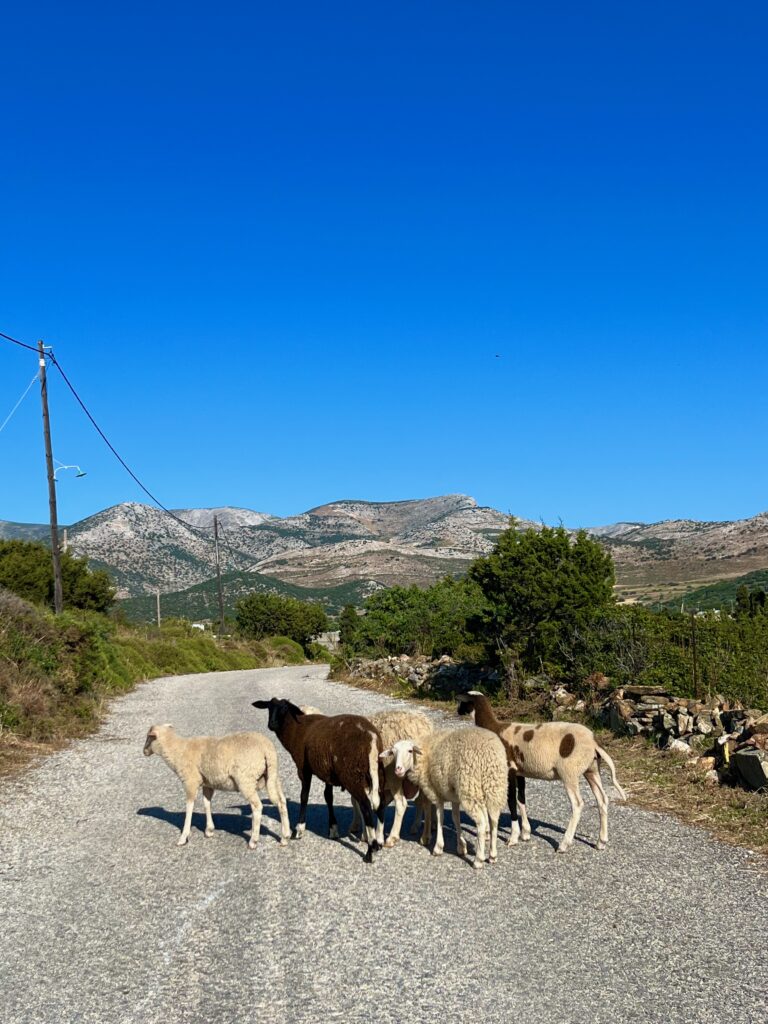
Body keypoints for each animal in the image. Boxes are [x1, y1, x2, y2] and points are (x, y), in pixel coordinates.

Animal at [143, 724, 290, 851]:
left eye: (148, 738)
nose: (144, 751)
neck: (177, 751)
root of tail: (267, 748)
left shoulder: (190, 781)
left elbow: (189, 807)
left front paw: (183, 837)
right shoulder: (208, 783)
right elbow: (206, 803)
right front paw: (209, 830)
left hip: (246, 779)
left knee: (257, 806)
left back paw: (253, 841)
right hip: (272, 776)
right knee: (281, 801)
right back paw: (285, 836)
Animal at [250, 696, 385, 864]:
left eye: (284, 709)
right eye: (269, 707)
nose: (272, 724)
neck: (295, 730)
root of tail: (371, 738)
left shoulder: (304, 769)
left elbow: (304, 796)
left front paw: (298, 830)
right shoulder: (327, 771)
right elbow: (328, 797)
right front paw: (333, 829)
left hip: (352, 775)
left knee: (366, 805)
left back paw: (369, 852)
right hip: (377, 772)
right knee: (380, 803)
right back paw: (378, 843)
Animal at [387, 729, 507, 872]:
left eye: (410, 751)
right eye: (393, 753)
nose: (398, 769)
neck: (423, 755)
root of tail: (489, 755)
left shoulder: (435, 791)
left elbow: (440, 817)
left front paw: (438, 847)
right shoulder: (453, 795)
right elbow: (456, 818)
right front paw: (461, 846)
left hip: (470, 789)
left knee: (482, 823)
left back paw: (478, 860)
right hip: (495, 789)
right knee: (494, 820)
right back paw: (493, 855)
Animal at [456, 692, 626, 851]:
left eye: (462, 702)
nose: (458, 711)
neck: (494, 729)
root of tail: (593, 742)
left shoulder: (509, 770)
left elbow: (511, 802)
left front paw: (513, 838)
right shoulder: (520, 772)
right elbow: (521, 799)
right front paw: (525, 833)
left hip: (569, 772)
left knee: (578, 804)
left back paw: (564, 844)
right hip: (592, 770)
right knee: (602, 799)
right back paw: (601, 842)